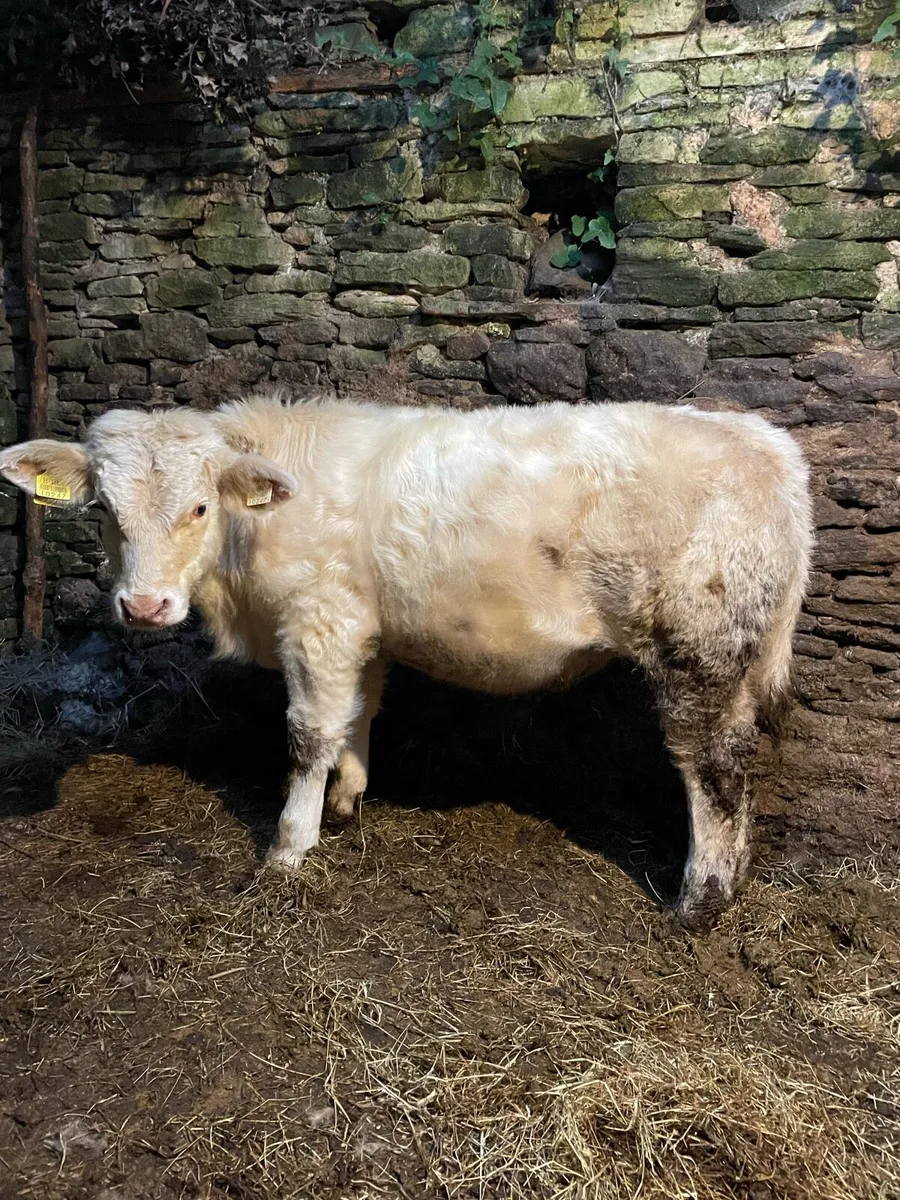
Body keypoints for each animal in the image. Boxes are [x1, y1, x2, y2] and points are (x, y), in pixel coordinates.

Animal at [0, 391, 812, 929]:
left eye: (200, 507)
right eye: (104, 510)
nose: (143, 608)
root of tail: (766, 442)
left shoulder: (319, 618)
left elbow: (308, 734)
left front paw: (287, 850)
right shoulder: (362, 625)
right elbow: (359, 711)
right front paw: (348, 799)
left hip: (702, 652)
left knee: (716, 771)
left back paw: (699, 902)